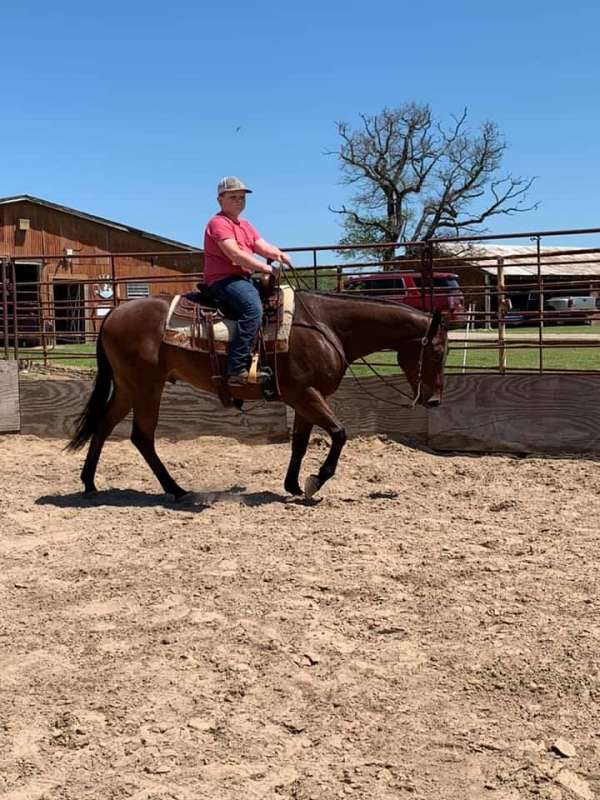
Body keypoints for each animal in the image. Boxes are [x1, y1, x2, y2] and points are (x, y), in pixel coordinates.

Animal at [68, 288, 448, 500]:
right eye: (438, 351)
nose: (434, 400)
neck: (325, 326)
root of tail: (114, 312)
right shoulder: (306, 393)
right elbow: (339, 434)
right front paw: (315, 481)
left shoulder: (304, 398)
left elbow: (300, 443)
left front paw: (294, 486)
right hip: (146, 388)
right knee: (142, 437)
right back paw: (175, 489)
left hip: (128, 387)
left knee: (103, 426)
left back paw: (90, 484)